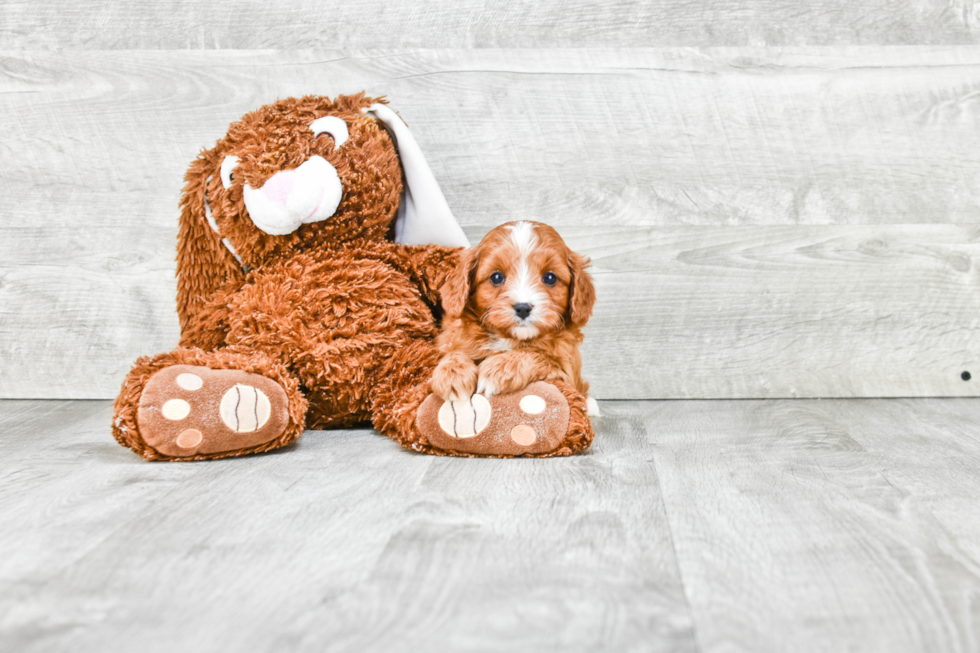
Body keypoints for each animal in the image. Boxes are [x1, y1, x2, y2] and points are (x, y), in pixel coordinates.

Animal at [434, 219, 600, 412]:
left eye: (550, 278)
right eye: (496, 277)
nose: (523, 308)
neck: (510, 338)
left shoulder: (567, 370)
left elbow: (537, 355)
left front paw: (499, 369)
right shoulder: (454, 337)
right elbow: (455, 351)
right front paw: (452, 373)